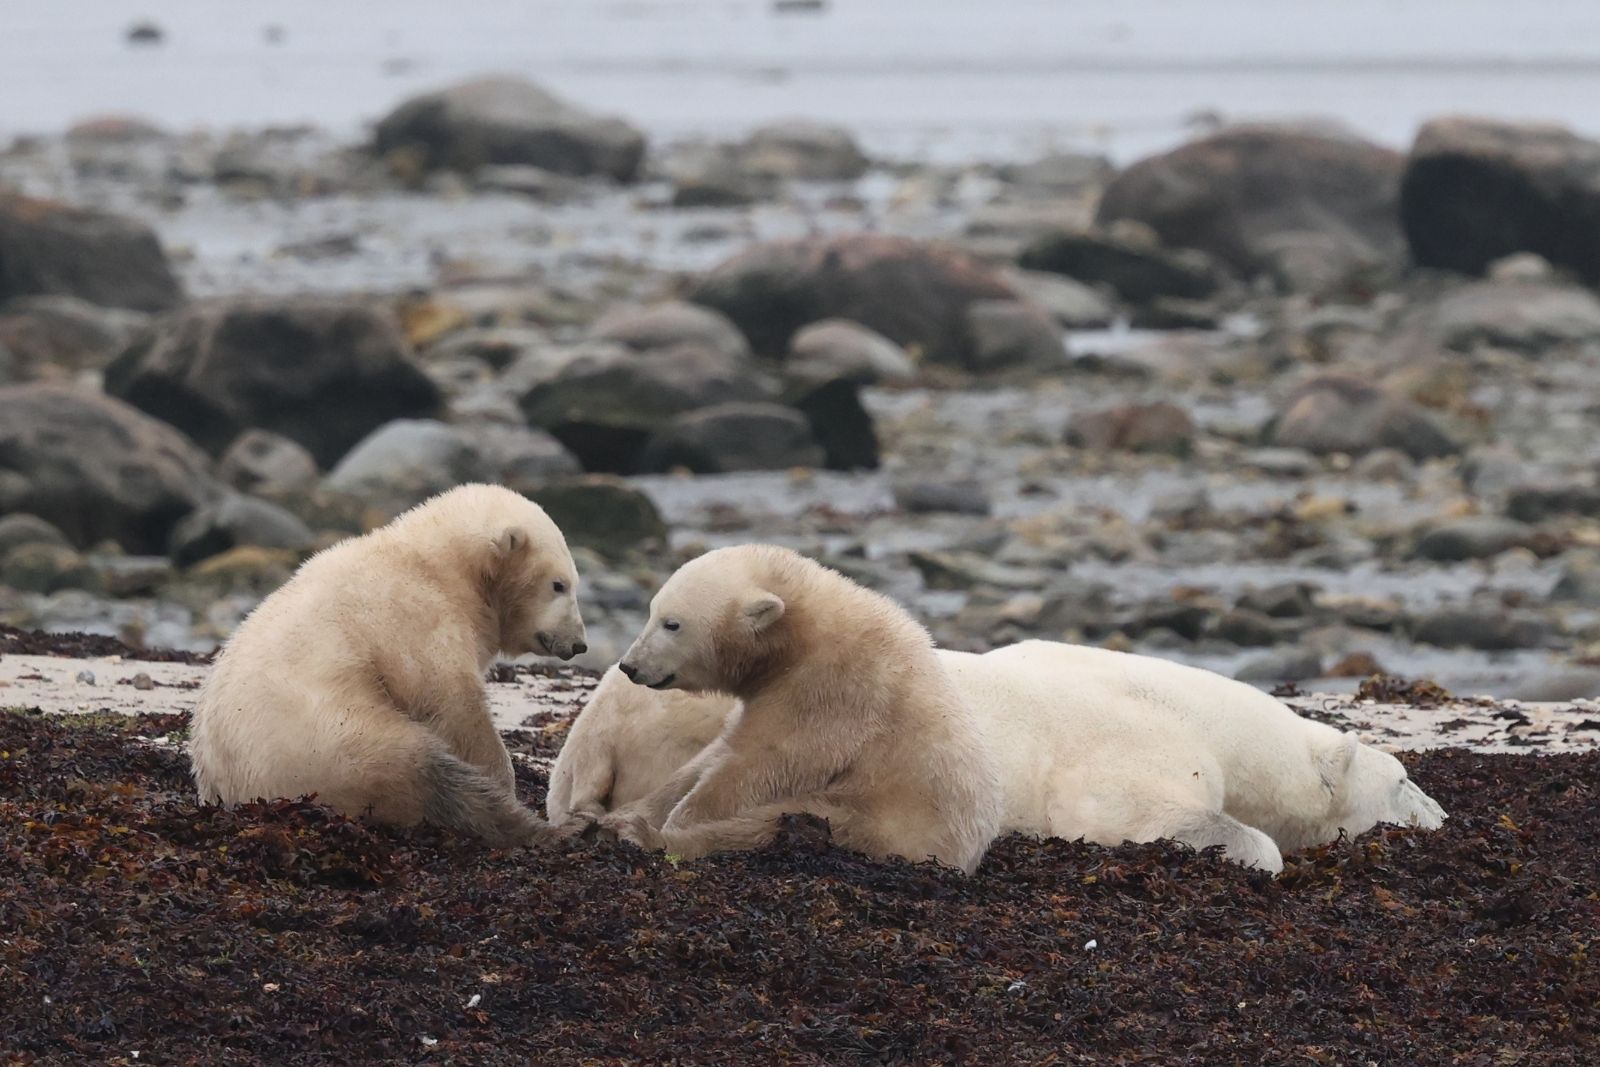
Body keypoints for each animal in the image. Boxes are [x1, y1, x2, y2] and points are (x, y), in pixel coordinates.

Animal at [189, 483, 587, 847]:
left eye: (572, 583)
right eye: (559, 584)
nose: (579, 643)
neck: (437, 564)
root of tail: (227, 790)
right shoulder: (418, 618)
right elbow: (451, 703)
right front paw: (503, 780)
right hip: (334, 745)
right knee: (428, 777)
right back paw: (552, 829)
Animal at [598, 544, 1005, 873]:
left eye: (673, 624)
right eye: (651, 611)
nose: (630, 665)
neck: (801, 634)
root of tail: (966, 855)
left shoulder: (830, 692)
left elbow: (768, 761)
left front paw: (675, 820)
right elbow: (715, 753)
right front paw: (629, 811)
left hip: (884, 818)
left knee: (770, 825)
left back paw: (647, 837)